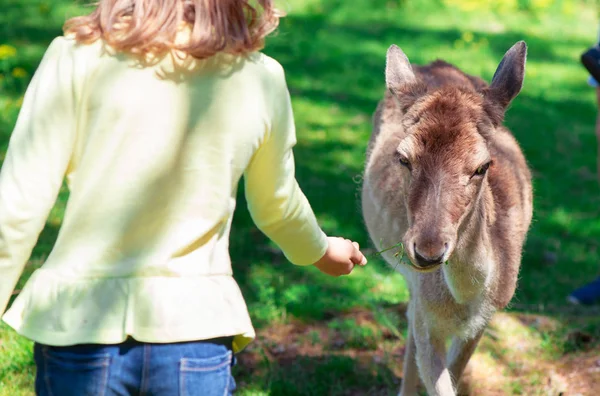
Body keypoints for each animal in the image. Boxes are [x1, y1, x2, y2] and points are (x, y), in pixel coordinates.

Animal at [360, 41, 536, 396]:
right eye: (403, 158)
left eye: (483, 165)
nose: (428, 250)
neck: (465, 301)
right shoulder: (429, 320)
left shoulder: (486, 317)